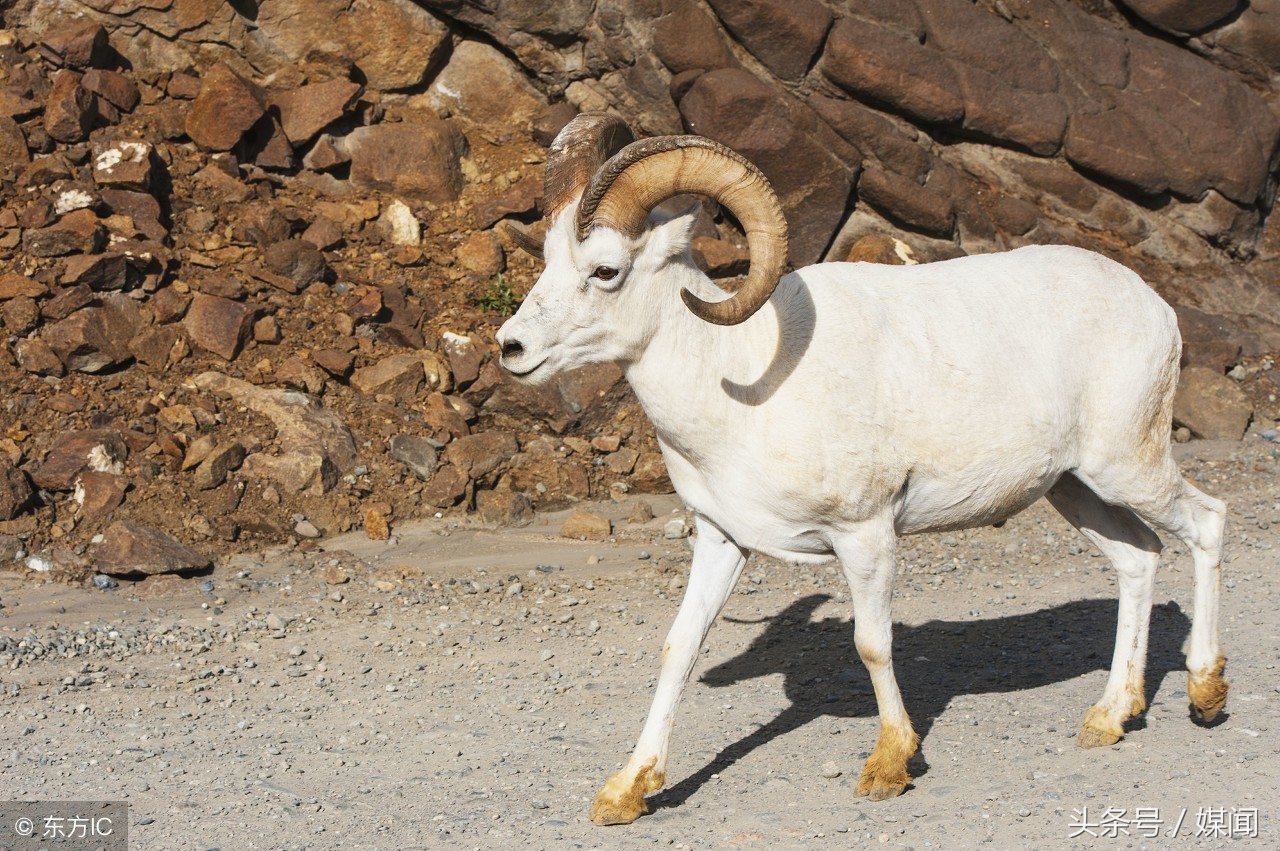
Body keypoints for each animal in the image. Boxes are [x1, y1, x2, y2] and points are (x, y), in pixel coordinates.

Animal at [491, 112, 1228, 824]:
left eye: (606, 270)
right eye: (548, 259)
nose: (511, 348)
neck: (737, 385)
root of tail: (1154, 306)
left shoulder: (865, 535)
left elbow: (872, 643)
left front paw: (888, 768)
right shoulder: (723, 539)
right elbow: (680, 647)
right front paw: (626, 793)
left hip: (1128, 466)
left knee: (1207, 523)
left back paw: (1205, 691)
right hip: (1076, 489)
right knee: (1138, 558)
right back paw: (1110, 717)